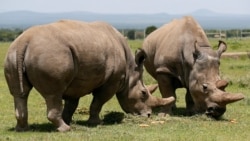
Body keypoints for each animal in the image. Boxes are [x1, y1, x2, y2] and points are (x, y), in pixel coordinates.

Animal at [5, 19, 174, 132]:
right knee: (53, 94)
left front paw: (69, 120)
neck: (130, 70)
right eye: (144, 93)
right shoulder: (111, 82)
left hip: (14, 53)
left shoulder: (75, 83)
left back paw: (22, 129)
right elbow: (98, 102)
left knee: (20, 94)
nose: (148, 115)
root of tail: (25, 41)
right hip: (51, 54)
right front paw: (95, 123)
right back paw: (65, 130)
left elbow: (72, 104)